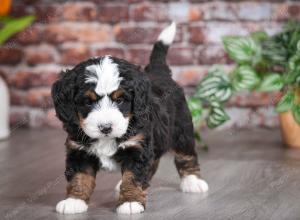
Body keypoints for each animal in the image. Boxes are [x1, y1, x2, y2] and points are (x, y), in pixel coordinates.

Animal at [52, 22, 209, 215]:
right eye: (87, 102)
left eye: (120, 100)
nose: (105, 127)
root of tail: (160, 73)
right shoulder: (79, 150)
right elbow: (79, 176)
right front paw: (74, 200)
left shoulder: (137, 146)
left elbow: (134, 177)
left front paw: (130, 202)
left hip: (182, 129)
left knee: (186, 155)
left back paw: (193, 181)